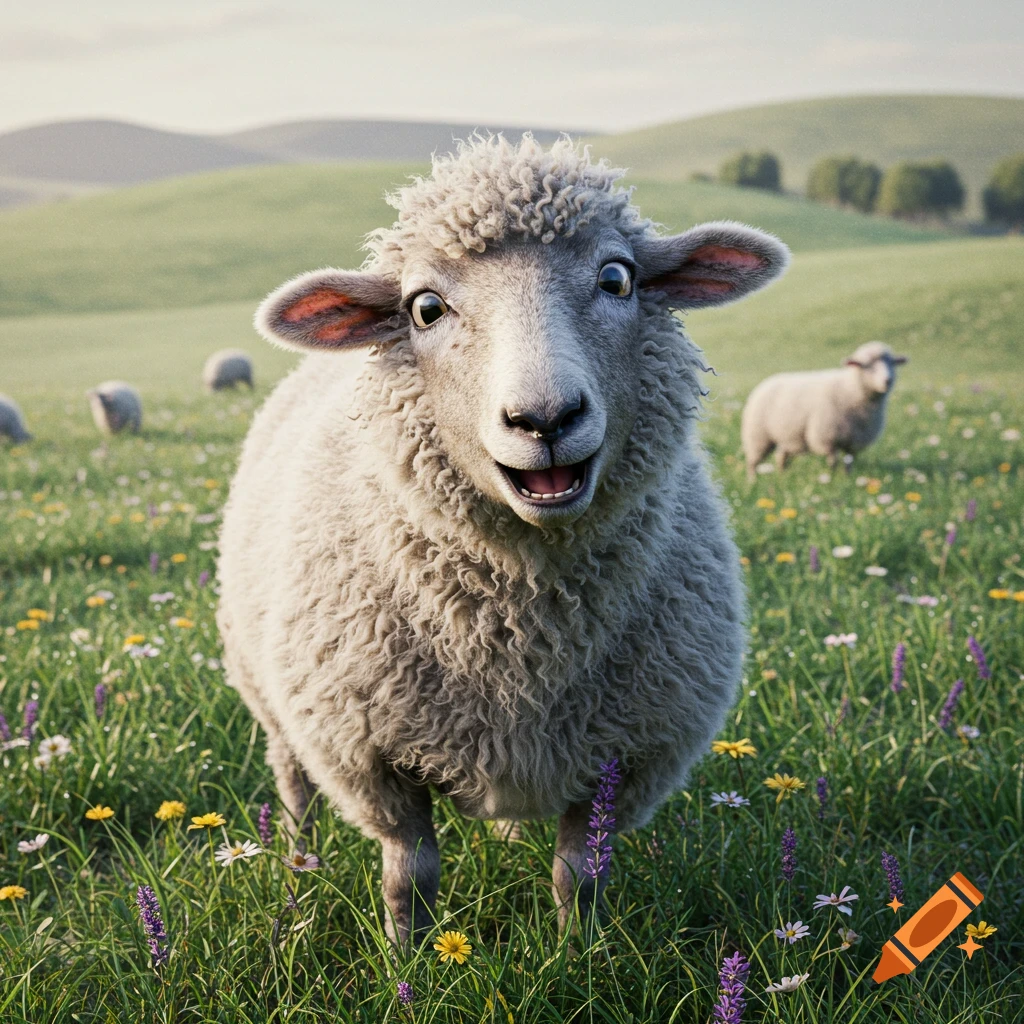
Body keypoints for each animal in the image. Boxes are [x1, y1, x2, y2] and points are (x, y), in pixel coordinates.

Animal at [217, 135, 790, 946]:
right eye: (424, 307)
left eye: (618, 278)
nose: (544, 418)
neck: (524, 620)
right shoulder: (369, 753)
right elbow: (410, 873)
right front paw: (408, 958)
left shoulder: (627, 753)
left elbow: (581, 874)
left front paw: (579, 954)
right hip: (273, 699)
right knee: (294, 787)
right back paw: (296, 870)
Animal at [741, 341, 908, 480]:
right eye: (867, 365)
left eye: (892, 363)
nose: (887, 380)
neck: (851, 389)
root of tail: (767, 381)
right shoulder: (828, 437)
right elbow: (833, 461)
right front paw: (832, 479)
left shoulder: (854, 441)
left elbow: (849, 462)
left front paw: (848, 478)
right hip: (758, 436)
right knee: (752, 462)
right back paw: (752, 481)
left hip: (788, 436)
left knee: (781, 457)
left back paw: (782, 477)